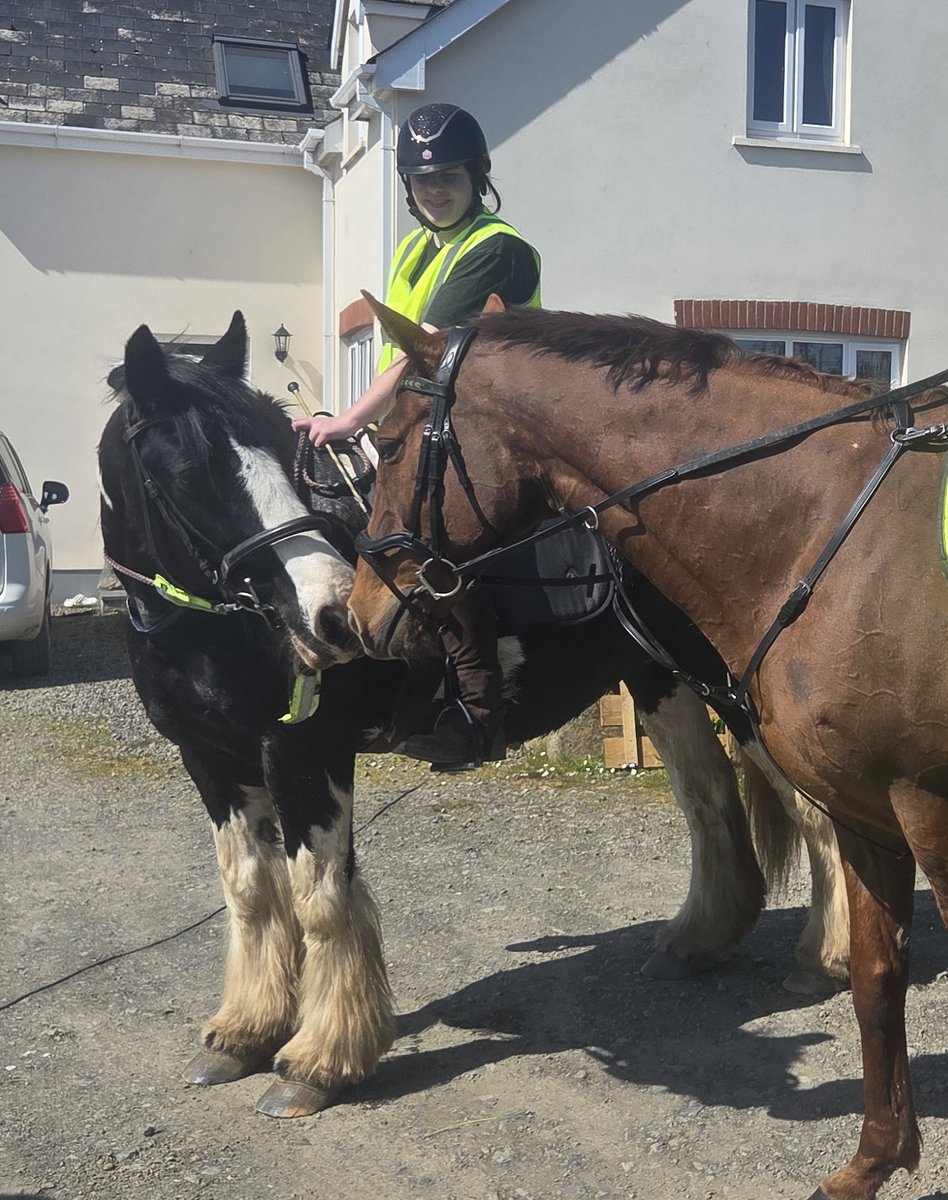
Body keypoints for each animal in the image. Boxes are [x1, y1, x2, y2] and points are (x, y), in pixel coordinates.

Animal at [98, 311, 844, 1122]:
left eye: (278, 451)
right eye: (190, 472)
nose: (331, 614)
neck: (211, 631)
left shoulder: (303, 755)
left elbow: (319, 899)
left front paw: (319, 1060)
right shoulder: (212, 762)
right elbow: (250, 891)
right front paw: (243, 1032)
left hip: (730, 687)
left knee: (815, 813)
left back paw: (823, 957)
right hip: (658, 678)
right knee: (709, 799)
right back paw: (700, 939)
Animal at [346, 298, 948, 1200]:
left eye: (385, 444)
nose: (355, 610)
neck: (835, 526)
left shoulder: (928, 816)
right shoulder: (869, 815)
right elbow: (879, 987)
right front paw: (873, 1162)